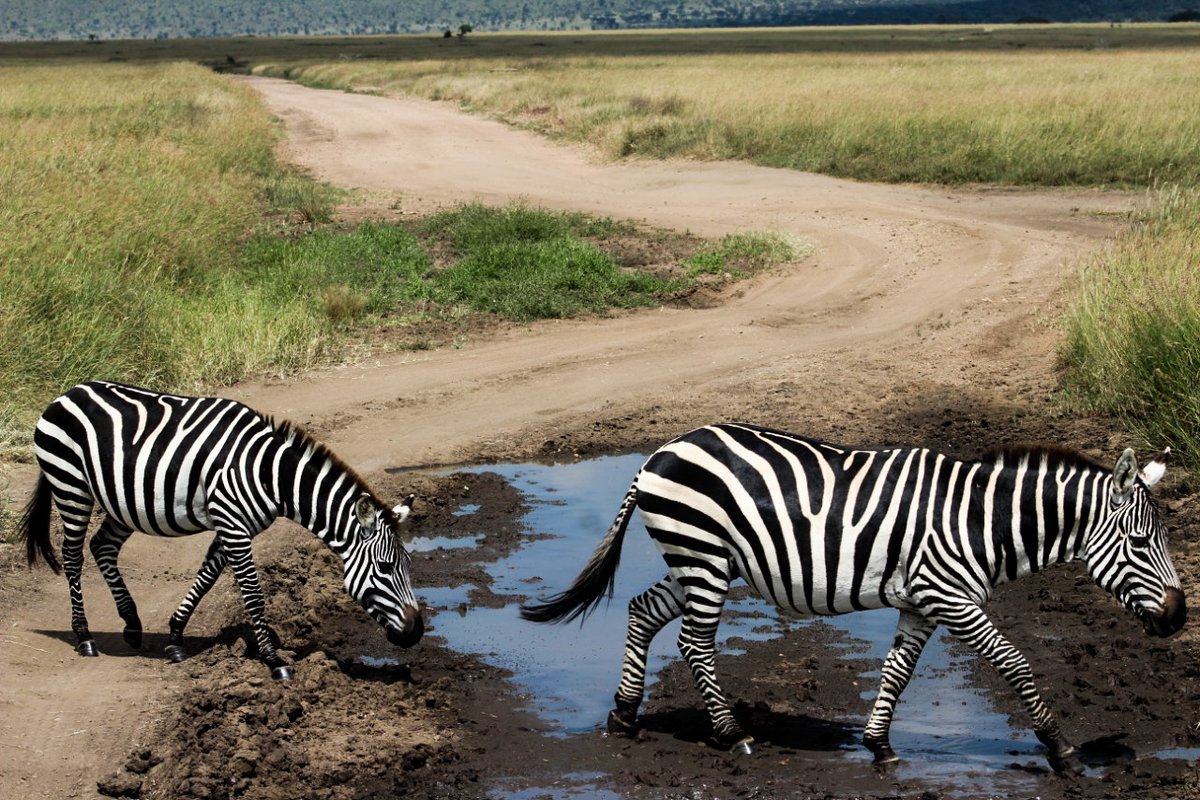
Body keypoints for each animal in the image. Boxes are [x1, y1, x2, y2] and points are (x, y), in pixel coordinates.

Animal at [18, 380, 424, 680]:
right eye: (386, 568)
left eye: (408, 566)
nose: (417, 632)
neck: (269, 475)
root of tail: (68, 392)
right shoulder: (233, 526)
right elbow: (253, 595)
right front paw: (274, 660)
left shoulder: (233, 526)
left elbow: (207, 577)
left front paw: (176, 637)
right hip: (71, 486)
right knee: (73, 556)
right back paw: (84, 636)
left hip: (122, 502)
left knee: (102, 546)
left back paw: (132, 625)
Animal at [521, 422, 1186, 774]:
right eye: (1138, 542)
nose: (1180, 619)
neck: (980, 520)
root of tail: (662, 451)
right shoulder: (951, 596)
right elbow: (1014, 664)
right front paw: (1061, 748)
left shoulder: (922, 602)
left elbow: (897, 672)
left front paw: (879, 745)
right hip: (703, 557)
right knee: (693, 641)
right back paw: (731, 733)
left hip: (700, 560)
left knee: (642, 612)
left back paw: (624, 715)